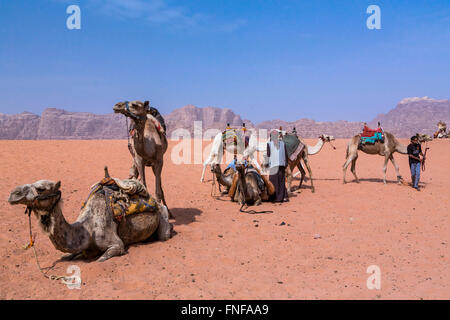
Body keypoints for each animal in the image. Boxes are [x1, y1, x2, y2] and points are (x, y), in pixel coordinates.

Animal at [7, 169, 172, 262]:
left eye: (41, 188)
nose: (13, 194)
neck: (86, 229)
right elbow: (68, 256)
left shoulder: (116, 244)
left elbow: (102, 257)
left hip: (162, 216)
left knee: (164, 234)